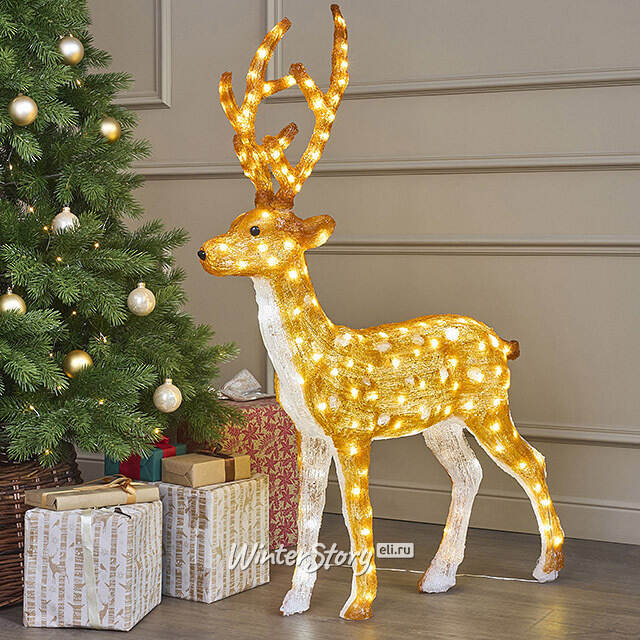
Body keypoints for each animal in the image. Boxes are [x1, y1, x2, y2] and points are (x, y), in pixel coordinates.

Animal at [198, 5, 564, 621]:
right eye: (234, 220)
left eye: (256, 230)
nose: (203, 251)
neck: (314, 361)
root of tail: (504, 344)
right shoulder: (310, 434)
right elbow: (308, 514)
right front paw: (294, 602)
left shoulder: (353, 429)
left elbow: (355, 511)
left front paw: (358, 606)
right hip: (442, 422)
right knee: (469, 473)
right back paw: (438, 577)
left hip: (488, 403)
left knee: (531, 461)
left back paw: (548, 568)